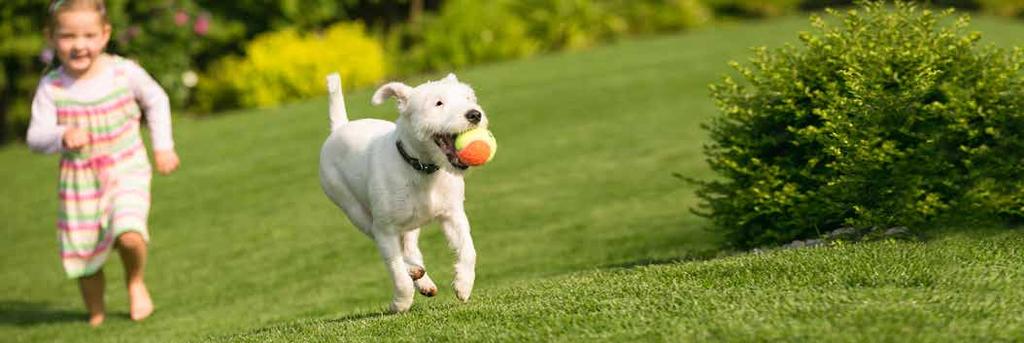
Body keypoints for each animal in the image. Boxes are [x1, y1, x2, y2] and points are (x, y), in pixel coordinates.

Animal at [319, 73, 487, 315]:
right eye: (438, 103)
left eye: (468, 98)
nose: (474, 114)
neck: (422, 169)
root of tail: (340, 127)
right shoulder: (385, 230)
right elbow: (397, 272)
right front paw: (400, 303)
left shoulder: (453, 215)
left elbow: (468, 250)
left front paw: (463, 283)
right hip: (354, 210)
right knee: (386, 244)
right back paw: (413, 273)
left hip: (410, 222)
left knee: (410, 247)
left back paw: (423, 279)